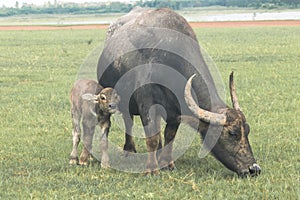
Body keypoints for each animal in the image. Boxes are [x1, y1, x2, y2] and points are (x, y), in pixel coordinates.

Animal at [96, 7, 260, 177]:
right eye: (232, 133)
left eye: (247, 130)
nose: (254, 168)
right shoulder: (146, 102)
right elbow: (151, 137)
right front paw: (151, 169)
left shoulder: (174, 110)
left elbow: (169, 135)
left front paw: (167, 163)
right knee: (128, 122)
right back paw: (129, 149)